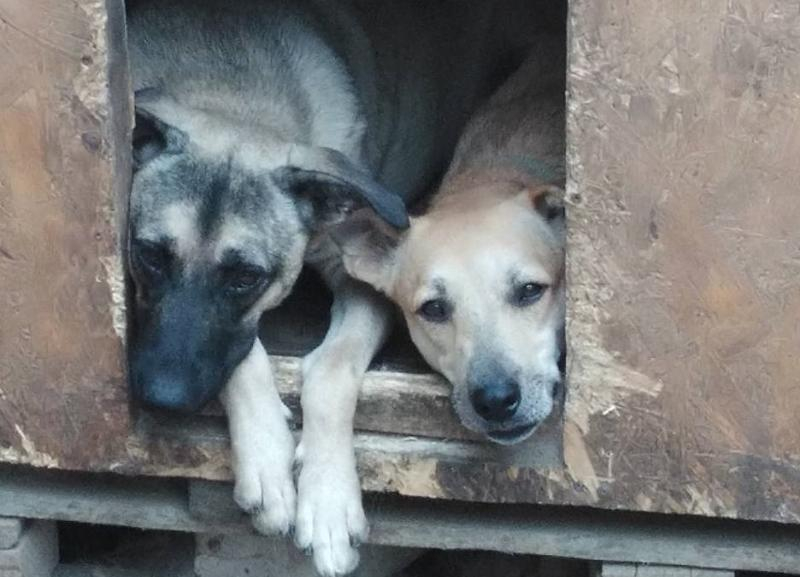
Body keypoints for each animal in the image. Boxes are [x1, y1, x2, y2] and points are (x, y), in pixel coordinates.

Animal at [126, 1, 532, 572]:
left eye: (245, 279)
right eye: (150, 256)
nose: (163, 399)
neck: (232, 92)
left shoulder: (362, 285)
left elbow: (332, 372)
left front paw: (328, 499)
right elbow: (244, 353)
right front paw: (267, 457)